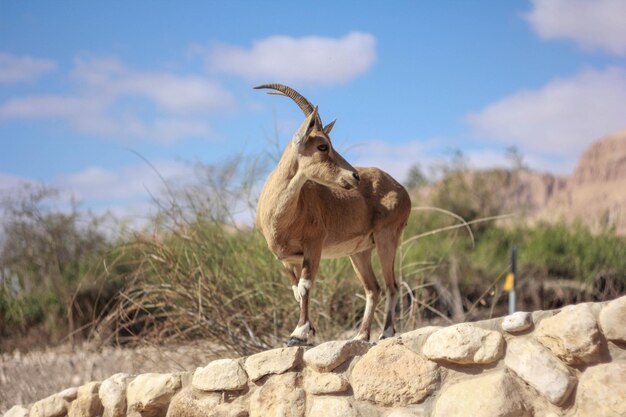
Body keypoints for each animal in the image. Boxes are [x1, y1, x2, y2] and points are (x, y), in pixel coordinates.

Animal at [254, 83, 410, 344]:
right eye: (322, 145)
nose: (355, 176)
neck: (281, 216)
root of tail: (402, 190)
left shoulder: (313, 246)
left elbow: (306, 285)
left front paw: (298, 334)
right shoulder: (286, 259)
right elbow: (296, 290)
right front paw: (308, 330)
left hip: (387, 238)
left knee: (391, 286)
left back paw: (385, 333)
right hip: (359, 252)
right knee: (373, 288)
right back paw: (361, 336)